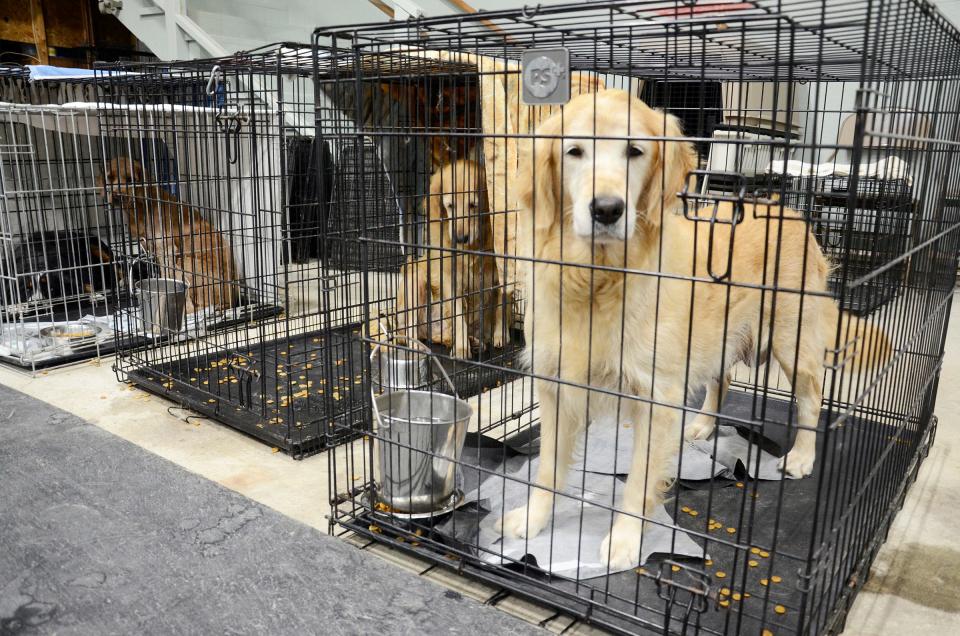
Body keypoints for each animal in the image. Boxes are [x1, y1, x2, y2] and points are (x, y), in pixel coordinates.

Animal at [498, 88, 888, 568]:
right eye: (574, 152)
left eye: (634, 151)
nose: (607, 210)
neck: (599, 278)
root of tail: (788, 211)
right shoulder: (555, 384)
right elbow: (548, 467)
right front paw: (531, 519)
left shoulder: (655, 396)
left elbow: (639, 479)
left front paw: (626, 539)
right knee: (722, 380)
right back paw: (702, 426)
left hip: (791, 339)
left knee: (813, 398)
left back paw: (800, 456)